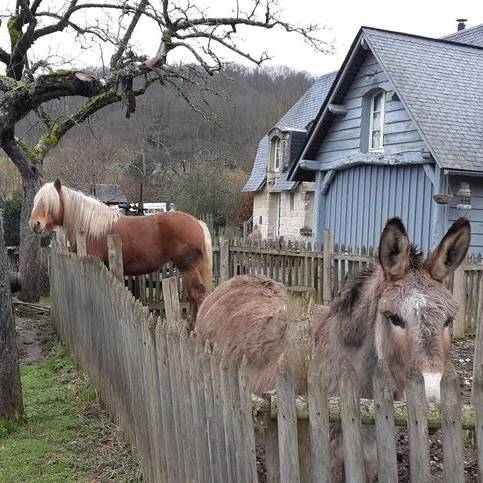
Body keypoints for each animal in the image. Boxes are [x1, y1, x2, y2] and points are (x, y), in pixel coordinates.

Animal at [30, 180, 212, 320]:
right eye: (36, 201)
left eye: (49, 203)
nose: (35, 224)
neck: (89, 227)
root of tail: (197, 223)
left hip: (187, 267)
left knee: (198, 293)